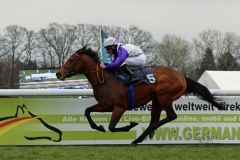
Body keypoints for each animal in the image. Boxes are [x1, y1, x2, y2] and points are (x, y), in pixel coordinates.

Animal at [55, 47, 224, 146]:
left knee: (171, 116)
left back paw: (147, 133)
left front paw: (131, 125)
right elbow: (87, 111)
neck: (104, 79)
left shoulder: (119, 107)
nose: (58, 73)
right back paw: (139, 138)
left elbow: (112, 127)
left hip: (164, 96)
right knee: (155, 119)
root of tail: (182, 76)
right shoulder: (105, 105)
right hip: (156, 100)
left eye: (71, 60)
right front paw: (98, 127)